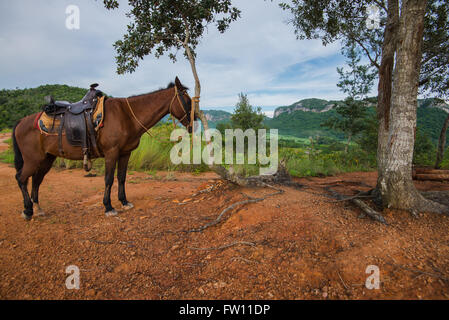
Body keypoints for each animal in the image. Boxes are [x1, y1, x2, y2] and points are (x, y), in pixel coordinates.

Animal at [12, 77, 192, 220]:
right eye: (188, 101)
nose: (193, 122)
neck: (126, 116)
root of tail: (21, 122)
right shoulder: (111, 153)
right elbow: (109, 179)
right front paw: (109, 207)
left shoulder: (125, 153)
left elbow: (121, 177)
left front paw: (124, 201)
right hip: (32, 160)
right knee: (21, 178)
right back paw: (27, 211)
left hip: (46, 158)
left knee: (36, 180)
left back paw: (37, 209)